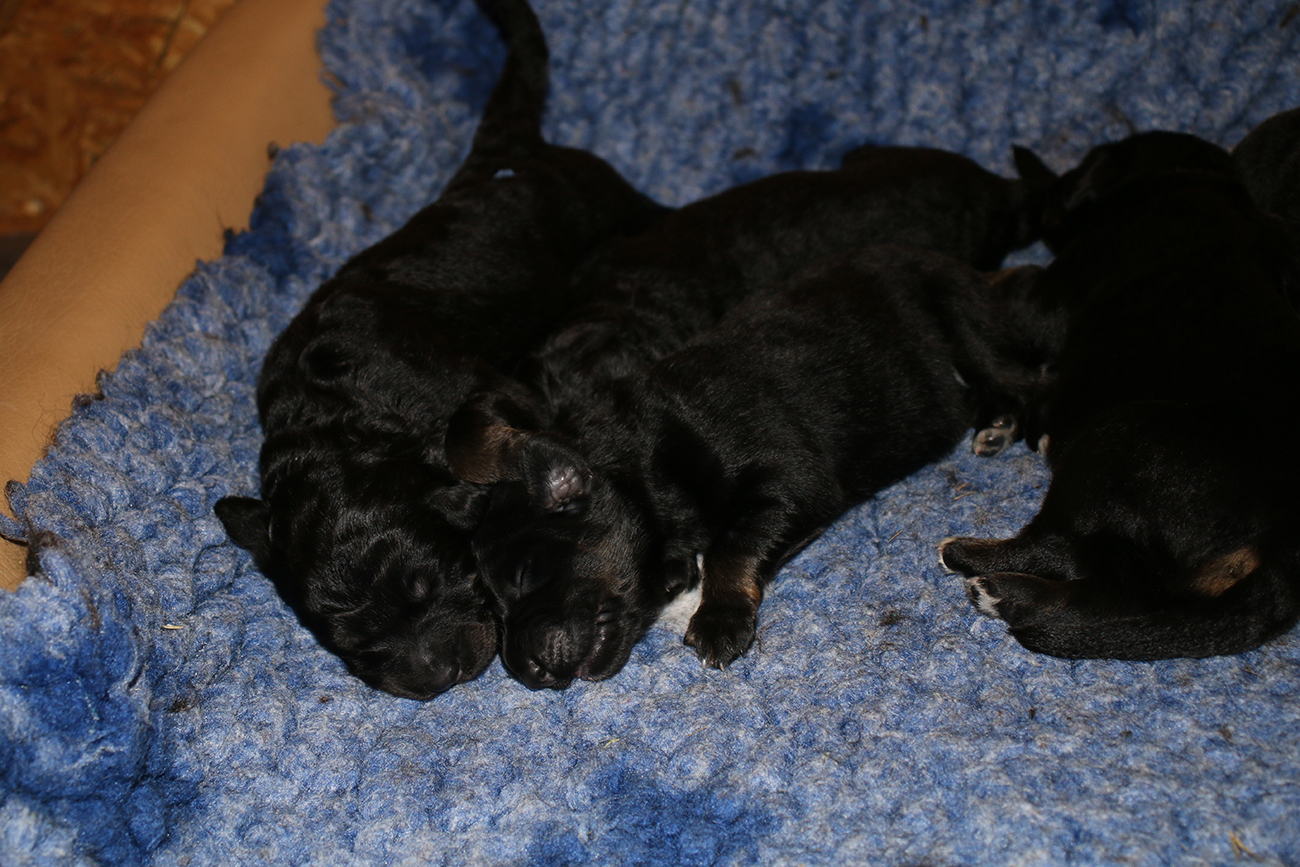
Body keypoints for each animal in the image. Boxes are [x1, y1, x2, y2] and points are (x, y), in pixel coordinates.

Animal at [213, 0, 663, 699]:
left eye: (425, 582)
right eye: (346, 637)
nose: (433, 675)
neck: (338, 422)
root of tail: (508, 153)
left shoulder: (493, 389)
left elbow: (467, 437)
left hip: (611, 199)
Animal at [447, 244, 1051, 688]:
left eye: (524, 575)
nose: (525, 673)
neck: (646, 460)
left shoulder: (790, 477)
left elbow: (731, 546)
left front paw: (719, 618)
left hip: (957, 312)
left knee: (1021, 375)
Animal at [939, 132, 1300, 660]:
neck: (1190, 179)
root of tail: (1283, 539)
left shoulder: (1044, 297)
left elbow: (1008, 284)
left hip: (1111, 443)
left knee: (1060, 546)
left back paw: (980, 568)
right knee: (1118, 598)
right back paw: (1015, 598)